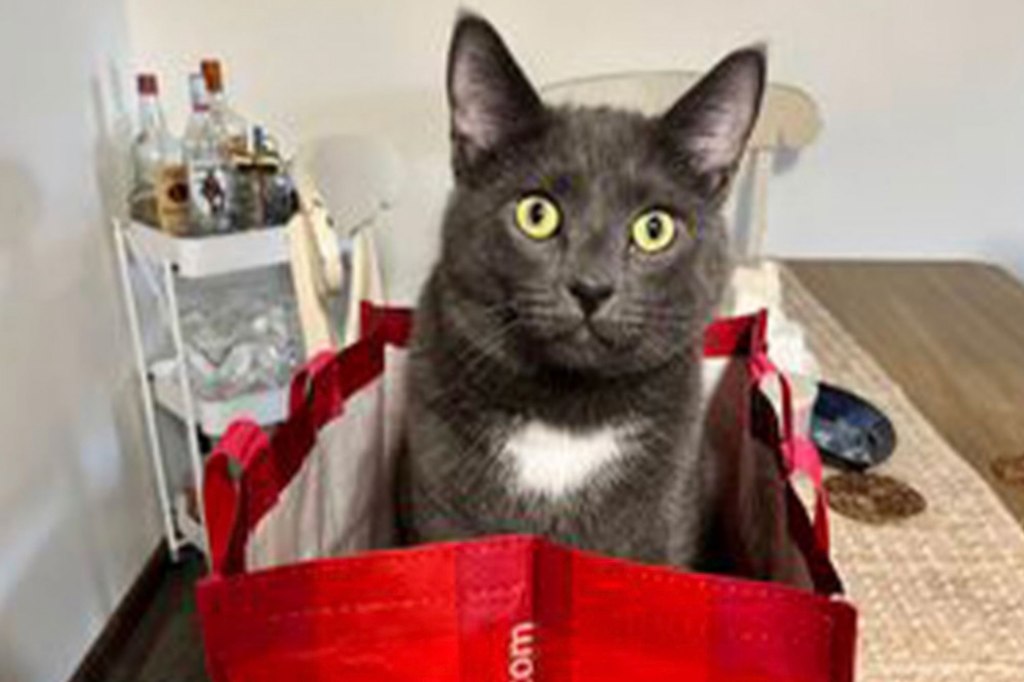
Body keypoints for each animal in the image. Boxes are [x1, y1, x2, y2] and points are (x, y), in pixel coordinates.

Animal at [395, 11, 765, 569]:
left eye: (654, 228)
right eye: (536, 214)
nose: (592, 287)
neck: (566, 417)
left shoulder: (665, 517)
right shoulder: (443, 511)